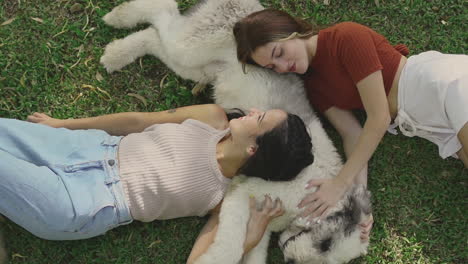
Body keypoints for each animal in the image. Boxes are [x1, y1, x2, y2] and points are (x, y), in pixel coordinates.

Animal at [100, 1, 372, 262]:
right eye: (325, 243)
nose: (291, 259)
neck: (317, 189)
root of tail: (250, 11)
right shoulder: (243, 194)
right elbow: (230, 247)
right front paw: (209, 260)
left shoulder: (263, 216)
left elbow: (254, 251)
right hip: (193, 45)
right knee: (163, 13)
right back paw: (118, 18)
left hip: (199, 67)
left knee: (153, 37)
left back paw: (115, 53)